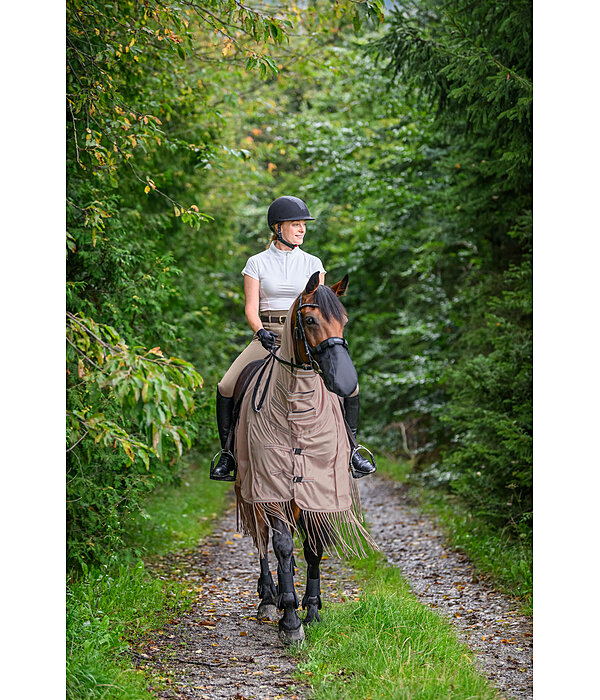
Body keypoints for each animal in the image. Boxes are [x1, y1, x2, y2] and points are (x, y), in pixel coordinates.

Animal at [232, 270, 378, 644]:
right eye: (310, 320)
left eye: (344, 320)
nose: (346, 381)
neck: (297, 411)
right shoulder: (270, 487)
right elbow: (283, 544)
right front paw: (290, 619)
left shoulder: (320, 488)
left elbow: (313, 546)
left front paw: (311, 610)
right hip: (250, 486)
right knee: (262, 538)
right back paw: (269, 599)